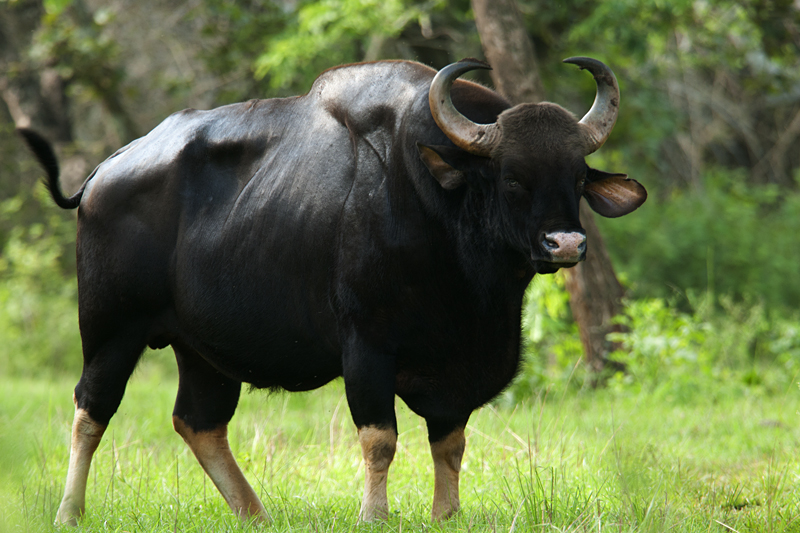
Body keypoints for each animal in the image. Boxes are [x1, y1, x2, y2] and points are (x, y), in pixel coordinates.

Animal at [18, 58, 648, 524]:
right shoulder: (366, 345)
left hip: (200, 349)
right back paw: (69, 512)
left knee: (199, 421)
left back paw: (255, 514)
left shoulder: (458, 364)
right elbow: (380, 438)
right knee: (91, 410)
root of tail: (102, 174)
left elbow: (450, 443)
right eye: (512, 179)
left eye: (577, 177)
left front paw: (447, 514)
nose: (565, 244)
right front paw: (375, 515)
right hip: (110, 329)